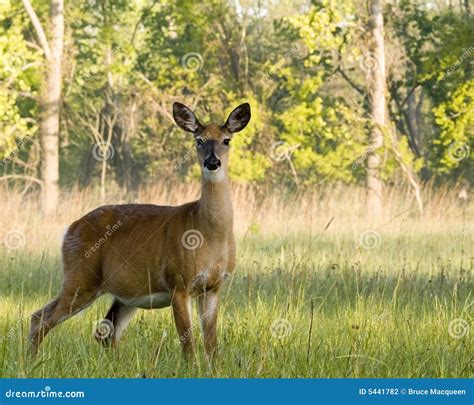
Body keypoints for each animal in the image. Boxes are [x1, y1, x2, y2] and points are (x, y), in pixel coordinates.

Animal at [29, 100, 252, 356]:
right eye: (199, 140)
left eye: (226, 140)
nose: (212, 163)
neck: (209, 233)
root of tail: (69, 229)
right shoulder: (178, 282)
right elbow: (188, 345)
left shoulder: (213, 287)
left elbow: (212, 345)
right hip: (80, 277)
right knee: (40, 318)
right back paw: (29, 361)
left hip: (126, 293)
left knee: (106, 331)